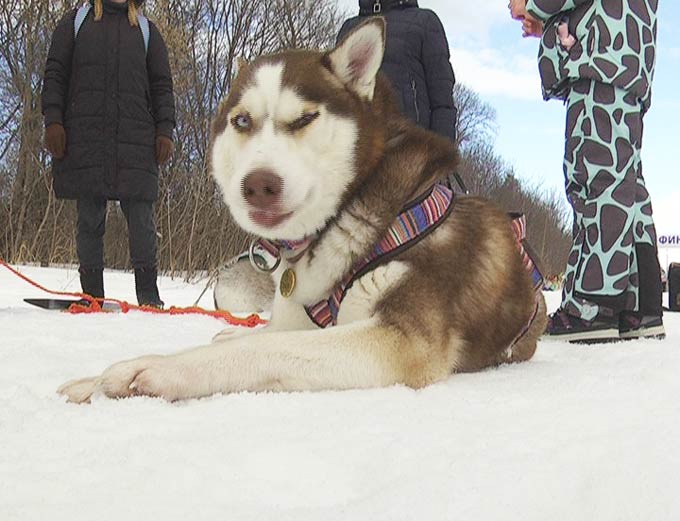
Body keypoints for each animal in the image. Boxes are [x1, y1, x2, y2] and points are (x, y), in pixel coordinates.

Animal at [58, 19, 548, 402]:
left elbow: (261, 350)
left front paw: (157, 370)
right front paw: (91, 380)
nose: (258, 185)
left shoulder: (402, 340)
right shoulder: (304, 318)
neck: (348, 215)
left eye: (303, 119)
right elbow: (269, 335)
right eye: (241, 121)